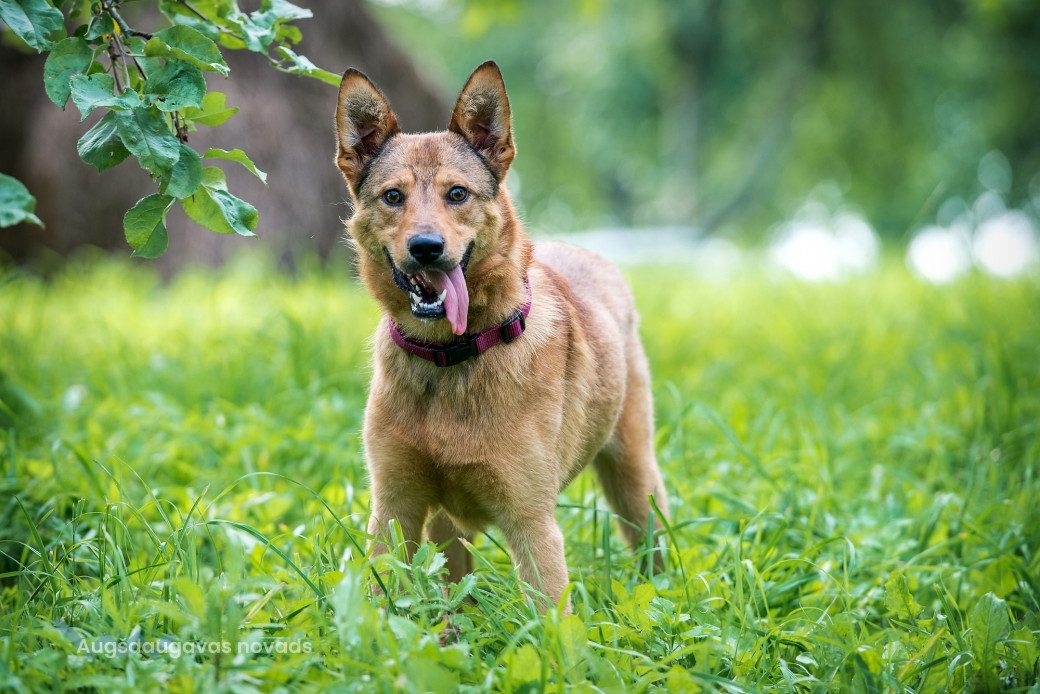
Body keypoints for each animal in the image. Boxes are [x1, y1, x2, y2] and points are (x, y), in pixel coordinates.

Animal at [334, 61, 668, 610]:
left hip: (635, 483)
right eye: (392, 197)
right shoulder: (394, 510)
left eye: (457, 194)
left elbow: (552, 623)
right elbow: (382, 607)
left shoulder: (531, 524)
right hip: (446, 525)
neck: (449, 359)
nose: (426, 247)